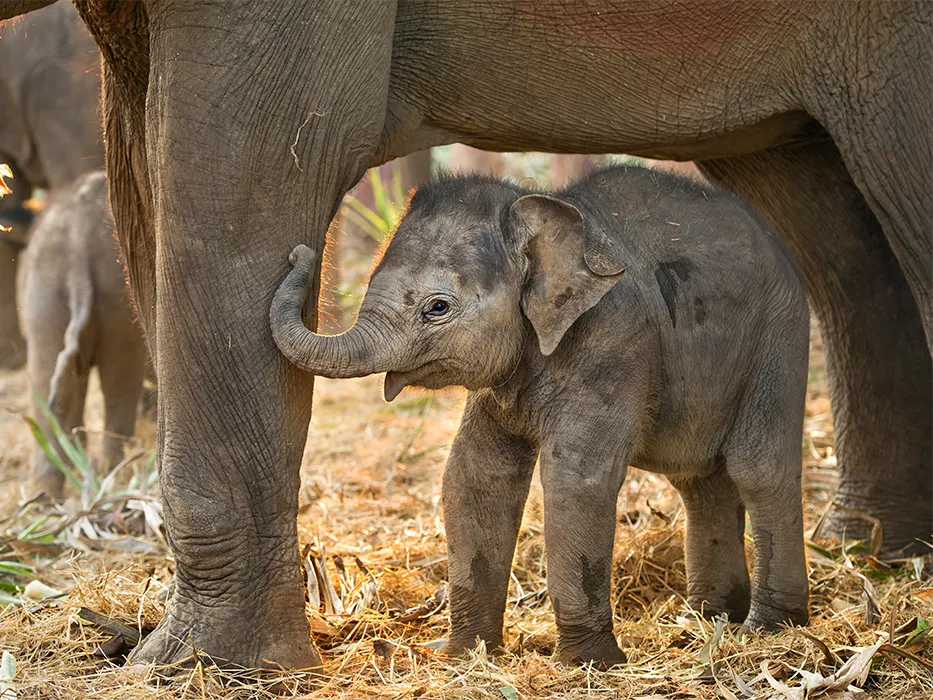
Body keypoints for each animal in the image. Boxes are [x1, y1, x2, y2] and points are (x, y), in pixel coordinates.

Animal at [21, 171, 147, 498]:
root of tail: (78, 242)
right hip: (117, 300)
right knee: (119, 381)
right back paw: (114, 472)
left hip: (45, 294)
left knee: (48, 382)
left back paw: (45, 494)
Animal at [270, 165, 808, 668]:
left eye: (437, 308)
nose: (300, 253)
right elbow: (475, 476)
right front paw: (465, 654)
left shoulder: (614, 340)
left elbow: (576, 480)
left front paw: (589, 664)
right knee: (699, 480)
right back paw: (706, 617)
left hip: (778, 340)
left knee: (757, 468)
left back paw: (768, 628)